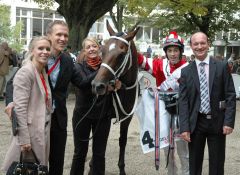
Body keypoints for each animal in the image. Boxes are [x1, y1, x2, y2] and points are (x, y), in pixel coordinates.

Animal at [92, 20, 141, 175]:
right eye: (102, 50)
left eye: (122, 54)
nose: (97, 85)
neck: (123, 89)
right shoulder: (104, 118)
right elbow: (99, 143)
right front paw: (91, 165)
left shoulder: (127, 118)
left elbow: (122, 140)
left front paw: (122, 168)